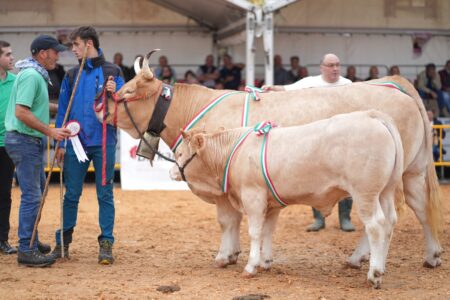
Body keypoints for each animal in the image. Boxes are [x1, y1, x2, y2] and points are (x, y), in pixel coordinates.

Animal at [95, 50, 442, 268]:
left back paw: (365, 260)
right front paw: (239, 254)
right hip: (410, 171)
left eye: (127, 92)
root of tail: (396, 84)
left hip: (381, 181)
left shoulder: (222, 183)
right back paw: (430, 255)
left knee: (388, 219)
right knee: (420, 209)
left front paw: (225, 256)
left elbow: (228, 221)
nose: (99, 107)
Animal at [170, 110, 404, 288]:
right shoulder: (272, 204)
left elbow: (254, 232)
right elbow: (268, 230)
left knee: (375, 226)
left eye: (180, 154)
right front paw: (266, 261)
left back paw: (374, 274)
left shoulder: (253, 196)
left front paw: (251, 266)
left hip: (365, 193)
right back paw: (380, 267)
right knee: (389, 223)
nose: (171, 172)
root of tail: (372, 115)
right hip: (386, 191)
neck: (233, 153)